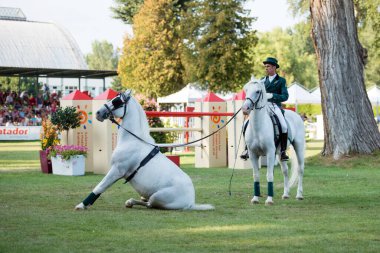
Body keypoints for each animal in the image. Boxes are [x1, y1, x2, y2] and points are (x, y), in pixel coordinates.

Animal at [75, 90, 214, 211]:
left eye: (117, 101)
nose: (98, 113)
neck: (132, 141)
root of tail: (191, 202)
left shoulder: (117, 170)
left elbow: (99, 187)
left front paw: (81, 205)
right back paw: (130, 202)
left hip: (156, 196)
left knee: (150, 204)